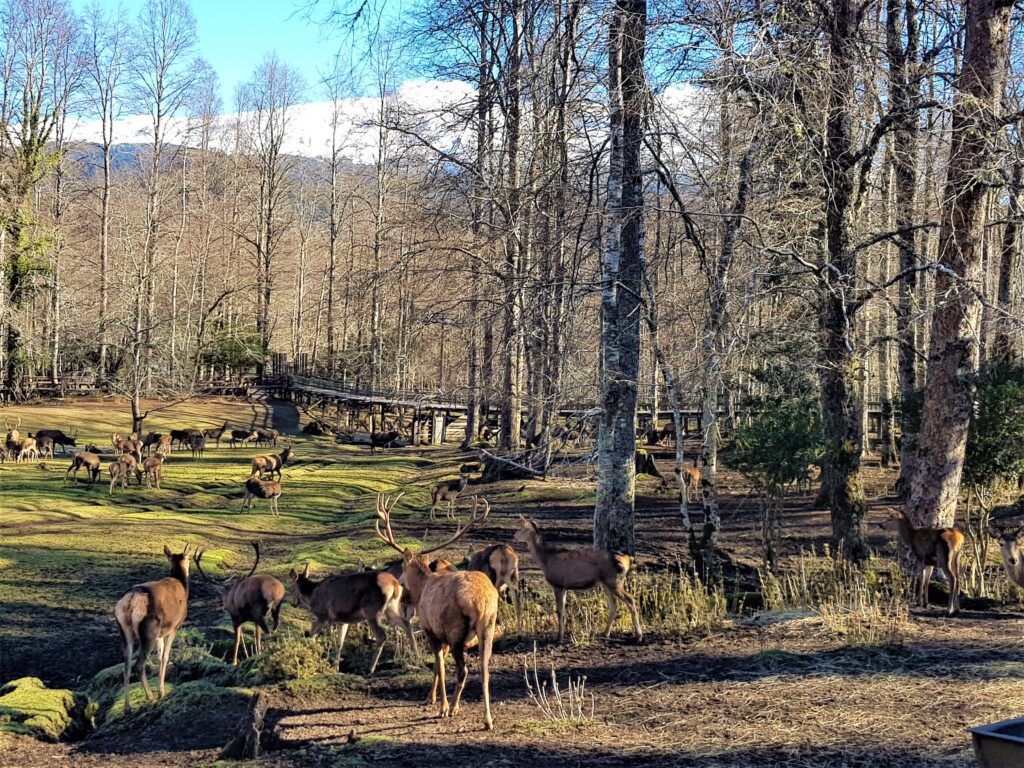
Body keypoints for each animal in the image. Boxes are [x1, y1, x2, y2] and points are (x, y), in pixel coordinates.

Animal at [114, 544, 192, 712]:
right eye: (189, 558)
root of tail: (131, 601)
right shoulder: (173, 627)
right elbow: (166, 657)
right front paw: (161, 691)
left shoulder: (160, 634)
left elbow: (159, 656)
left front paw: (160, 688)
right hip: (149, 630)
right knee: (138, 665)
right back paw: (150, 697)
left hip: (124, 630)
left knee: (126, 665)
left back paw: (127, 706)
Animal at [286, 561, 417, 671]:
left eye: (292, 588)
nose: (293, 603)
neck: (311, 595)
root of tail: (395, 585)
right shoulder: (342, 621)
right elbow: (339, 643)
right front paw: (336, 667)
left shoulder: (322, 616)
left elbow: (312, 635)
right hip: (391, 608)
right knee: (407, 624)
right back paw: (416, 657)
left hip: (372, 610)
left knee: (382, 636)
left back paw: (370, 668)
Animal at [374, 495, 497, 729]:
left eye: (402, 567)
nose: (400, 583)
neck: (423, 588)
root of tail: (482, 602)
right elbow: (437, 668)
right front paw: (430, 698)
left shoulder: (432, 630)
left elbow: (439, 666)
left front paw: (442, 706)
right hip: (488, 627)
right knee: (485, 669)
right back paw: (487, 720)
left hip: (456, 630)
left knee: (463, 670)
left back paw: (453, 708)